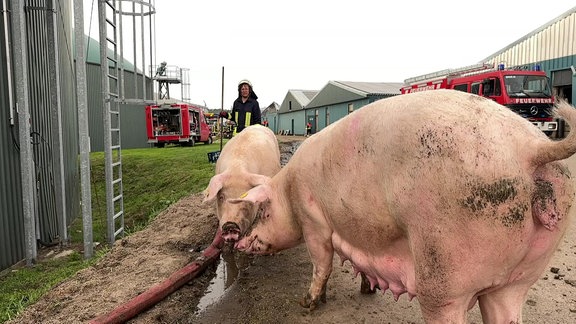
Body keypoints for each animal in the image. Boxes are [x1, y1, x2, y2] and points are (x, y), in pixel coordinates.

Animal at [226, 89, 576, 324]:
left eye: (264, 212)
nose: (238, 240)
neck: (289, 190)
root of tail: (533, 147)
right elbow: (359, 264)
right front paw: (366, 289)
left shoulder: (314, 221)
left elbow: (321, 264)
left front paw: (308, 303)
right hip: (521, 278)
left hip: (445, 275)